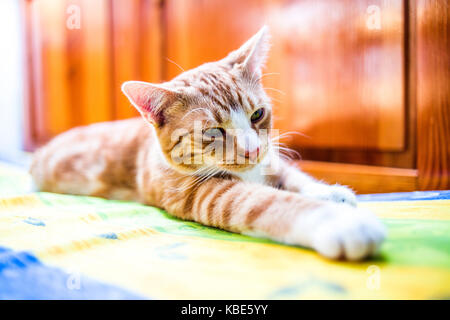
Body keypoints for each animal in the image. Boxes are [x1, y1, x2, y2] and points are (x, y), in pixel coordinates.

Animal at [30, 25, 386, 260]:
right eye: (213, 132)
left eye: (257, 114)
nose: (253, 149)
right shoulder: (198, 193)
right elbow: (264, 201)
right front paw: (340, 222)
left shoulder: (269, 159)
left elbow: (289, 175)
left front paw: (330, 193)